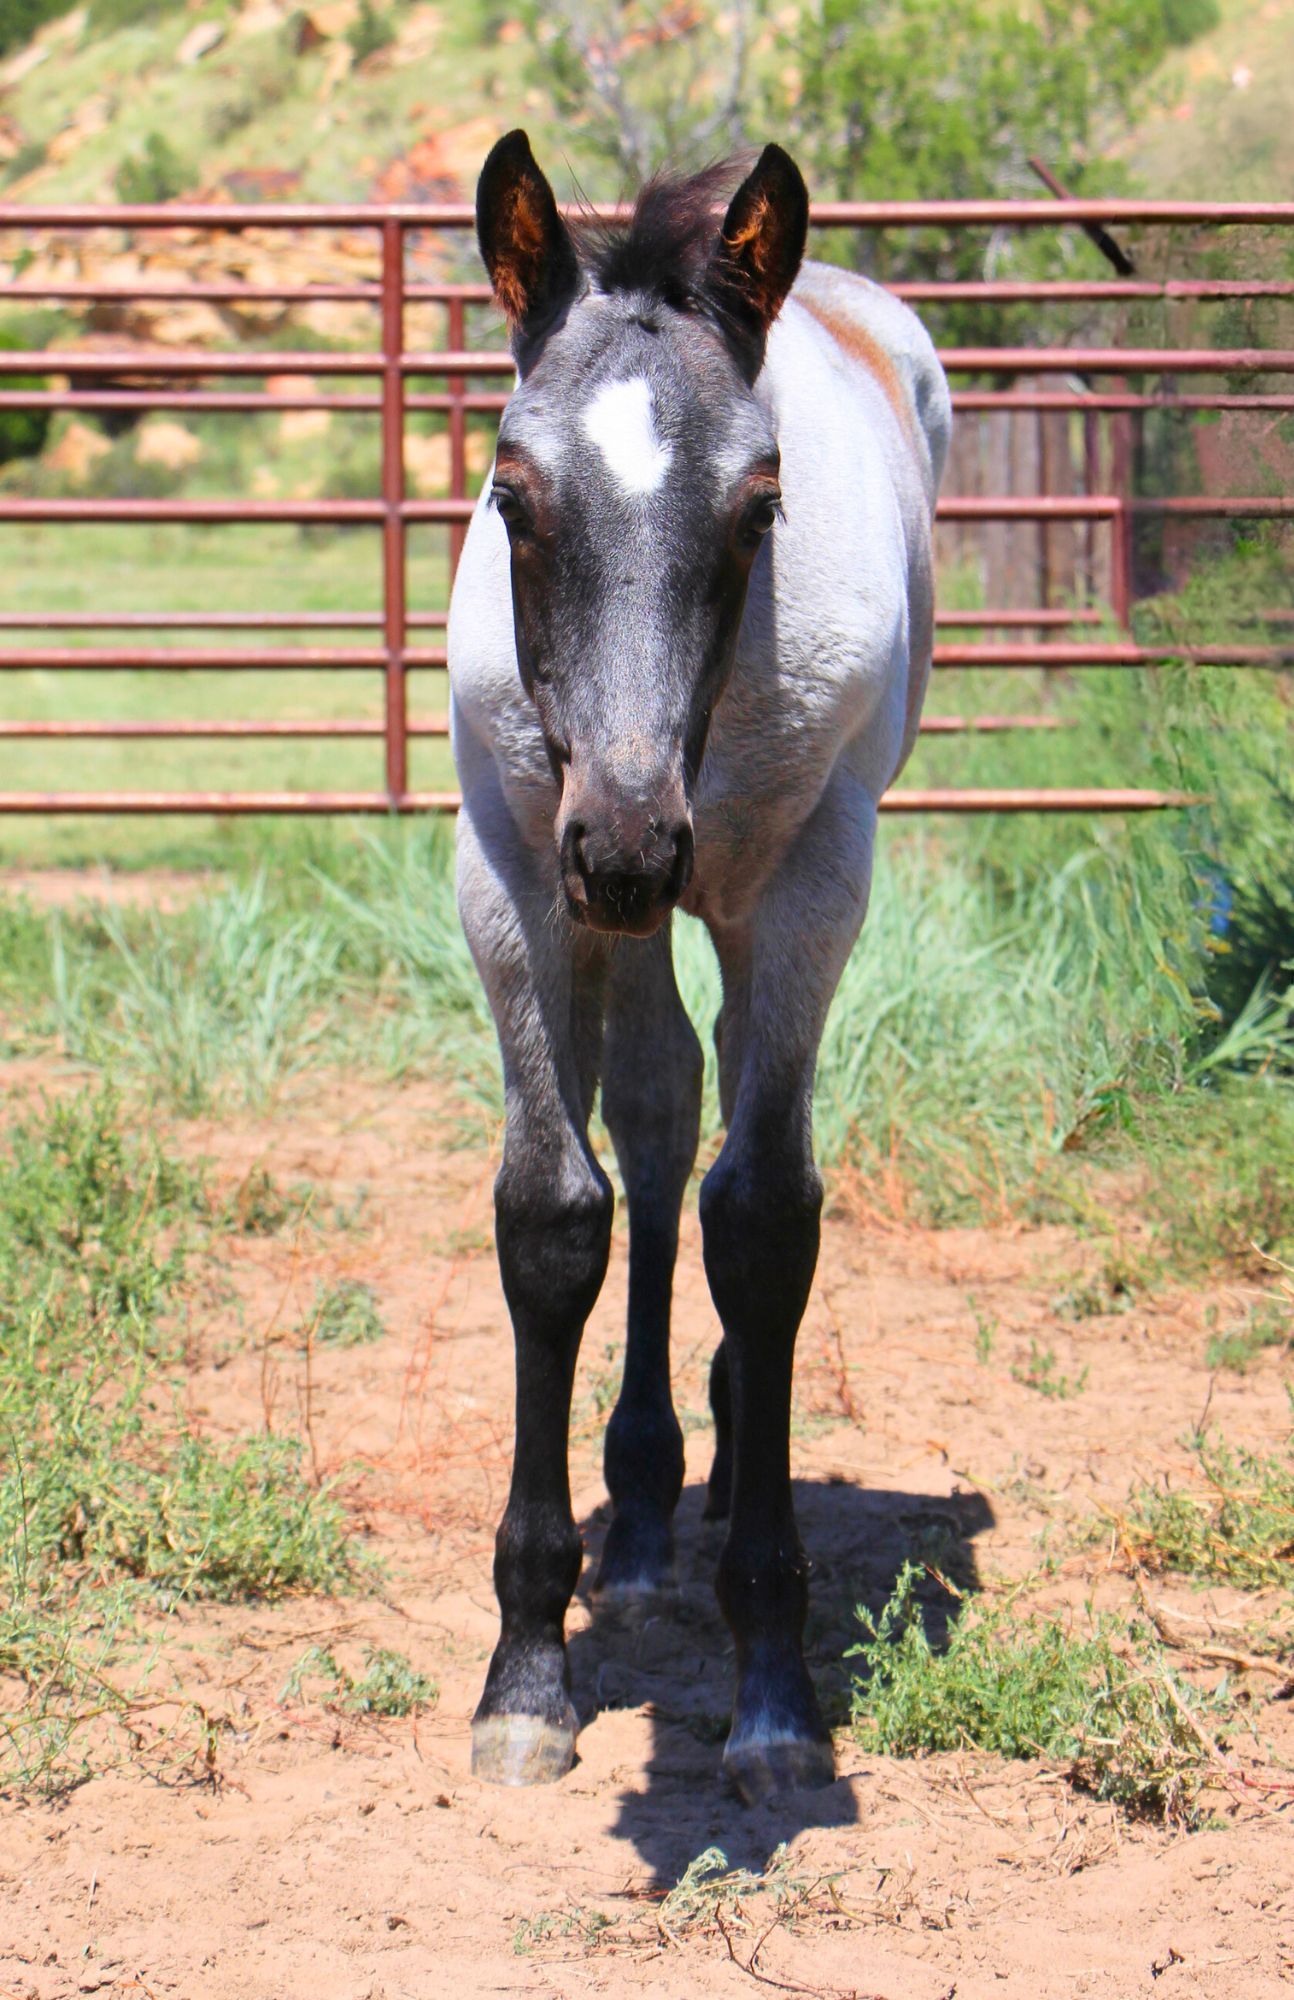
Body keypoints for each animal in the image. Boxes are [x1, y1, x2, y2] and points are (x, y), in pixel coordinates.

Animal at [447, 131, 950, 1802]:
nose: (622, 842)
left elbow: (766, 1221)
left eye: (760, 500)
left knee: (722, 1122)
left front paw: (773, 1681)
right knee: (664, 1117)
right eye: (512, 490)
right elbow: (556, 1216)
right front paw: (526, 1669)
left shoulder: (804, 888)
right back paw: (649, 1497)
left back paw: (721, 1468)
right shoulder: (508, 874)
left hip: (732, 896)